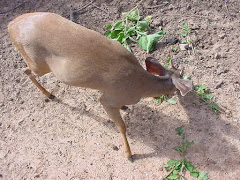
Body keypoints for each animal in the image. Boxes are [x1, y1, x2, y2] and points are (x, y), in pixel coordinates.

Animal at [7, 12, 193, 160]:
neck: (140, 84)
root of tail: (11, 25)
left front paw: (124, 108)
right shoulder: (109, 99)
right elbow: (122, 126)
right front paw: (129, 154)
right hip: (38, 63)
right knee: (25, 70)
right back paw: (49, 94)